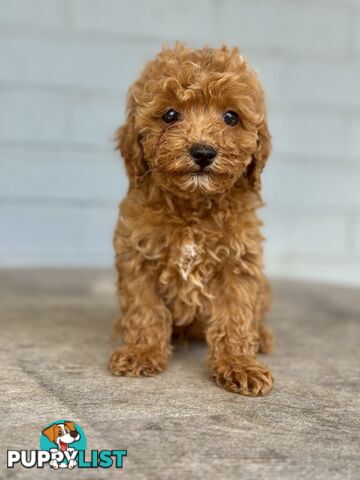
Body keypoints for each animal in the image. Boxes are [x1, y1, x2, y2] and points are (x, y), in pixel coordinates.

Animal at [109, 44, 272, 398]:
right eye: (170, 115)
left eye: (231, 117)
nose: (203, 152)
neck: (193, 207)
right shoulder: (137, 256)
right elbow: (145, 309)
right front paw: (141, 351)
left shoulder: (238, 262)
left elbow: (236, 316)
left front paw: (239, 364)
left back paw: (262, 337)